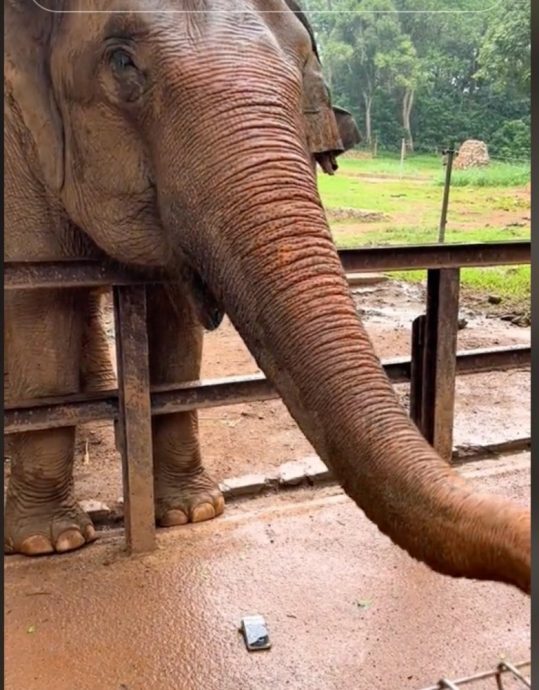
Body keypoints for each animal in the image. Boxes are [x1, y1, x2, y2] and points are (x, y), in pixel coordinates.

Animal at [1, 0, 532, 592]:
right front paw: (52, 543)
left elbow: (174, 327)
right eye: (121, 63)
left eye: (303, 70)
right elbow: (42, 314)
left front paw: (193, 512)